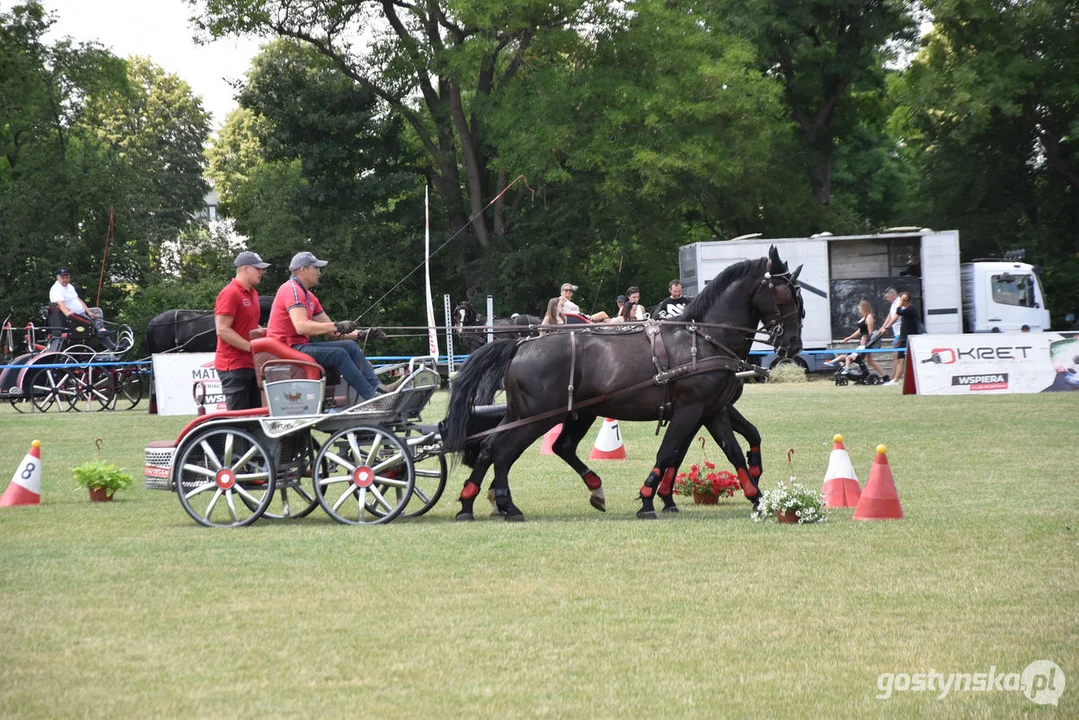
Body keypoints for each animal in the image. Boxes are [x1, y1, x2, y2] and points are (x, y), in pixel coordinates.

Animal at [438, 248, 802, 518]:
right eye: (786, 295)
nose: (793, 344)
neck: (704, 339)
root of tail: (521, 344)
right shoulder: (691, 409)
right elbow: (668, 452)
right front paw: (649, 500)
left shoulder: (713, 411)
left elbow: (732, 451)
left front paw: (757, 498)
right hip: (539, 416)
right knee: (504, 450)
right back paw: (505, 504)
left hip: (549, 413)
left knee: (504, 447)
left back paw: (474, 502)